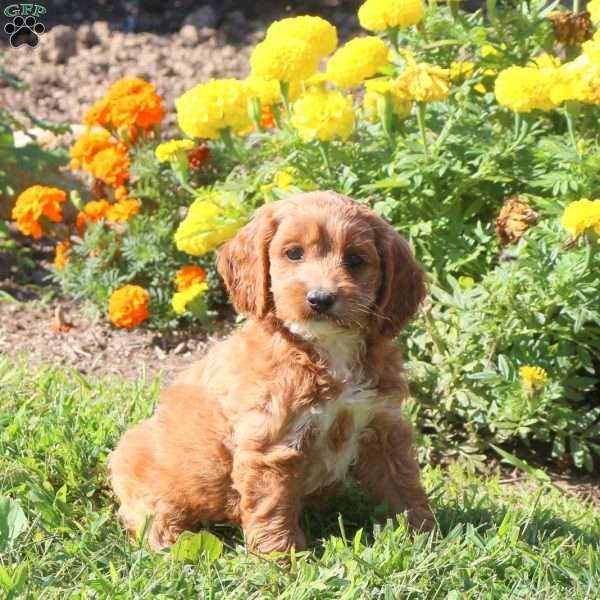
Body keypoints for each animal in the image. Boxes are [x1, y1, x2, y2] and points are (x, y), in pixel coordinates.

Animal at [109, 190, 436, 552]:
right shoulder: (271, 443)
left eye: (355, 259)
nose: (321, 298)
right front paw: (281, 558)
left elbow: (402, 486)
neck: (328, 349)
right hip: (144, 480)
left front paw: (425, 536)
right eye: (293, 253)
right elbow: (272, 506)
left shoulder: (383, 426)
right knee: (154, 520)